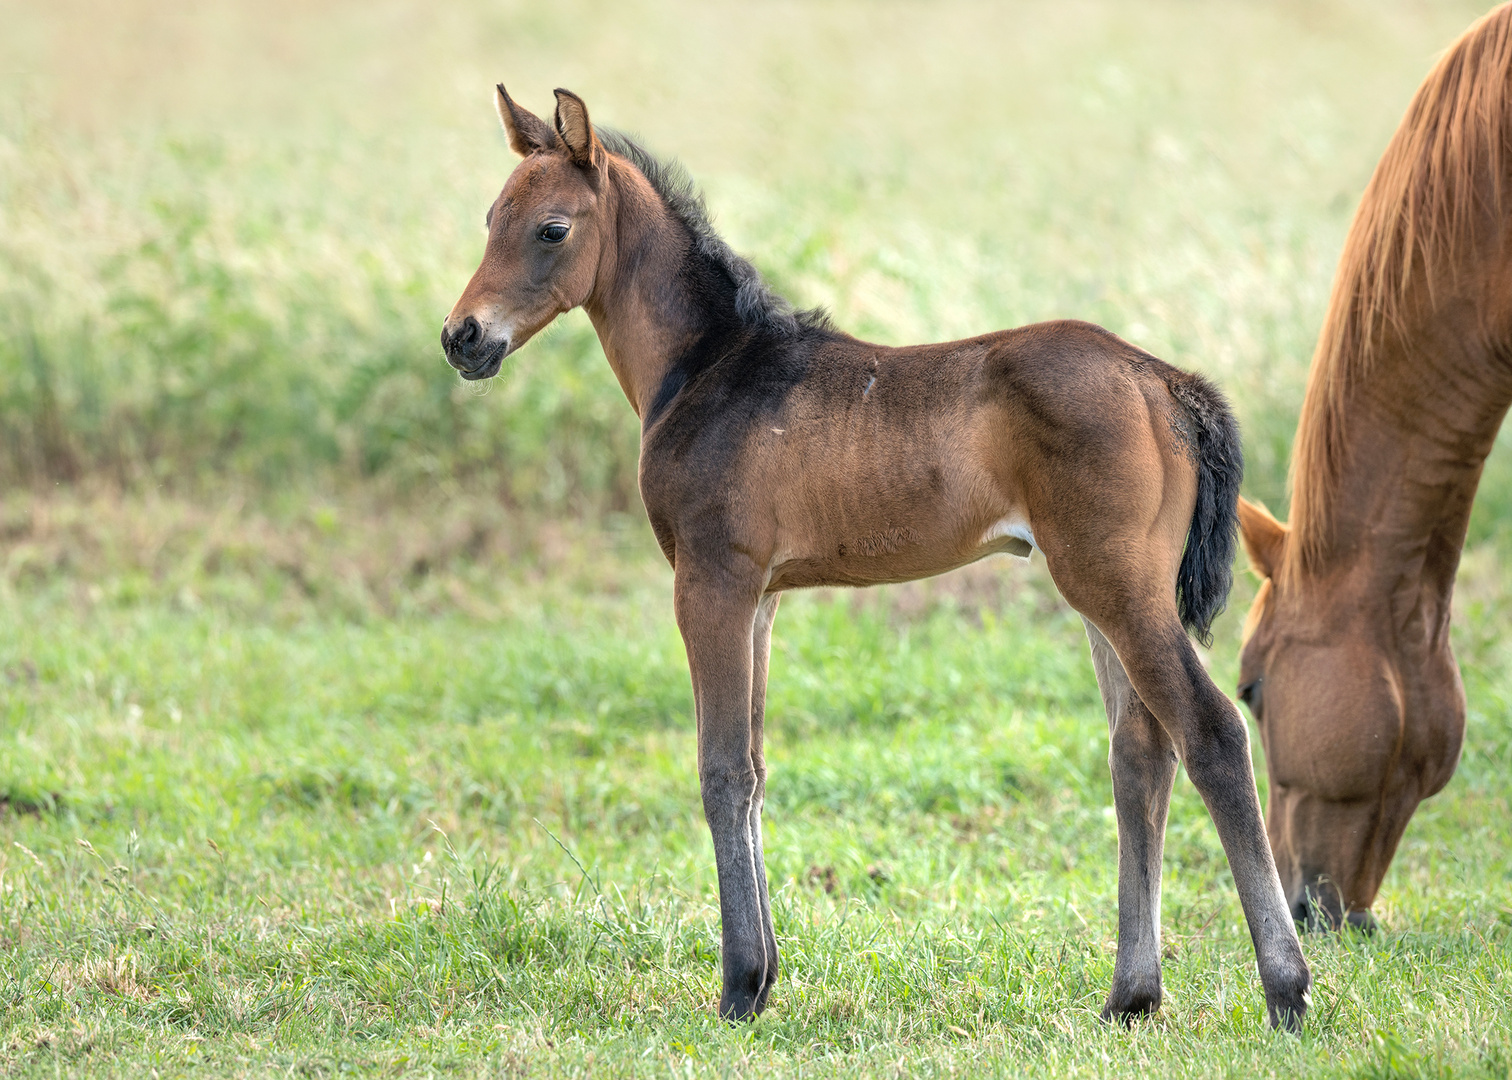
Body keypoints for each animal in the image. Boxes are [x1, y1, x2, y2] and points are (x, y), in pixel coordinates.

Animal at [441, 83, 1312, 1028]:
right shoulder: (762, 596)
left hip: (1116, 586)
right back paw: (1132, 995)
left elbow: (719, 767)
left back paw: (1286, 987)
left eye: (551, 229)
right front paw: (766, 974)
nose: (463, 337)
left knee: (1212, 733)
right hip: (1108, 593)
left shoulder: (711, 580)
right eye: (489, 217)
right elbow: (753, 763)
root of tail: (1164, 381)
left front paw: (740, 985)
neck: (710, 367)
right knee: (1140, 755)